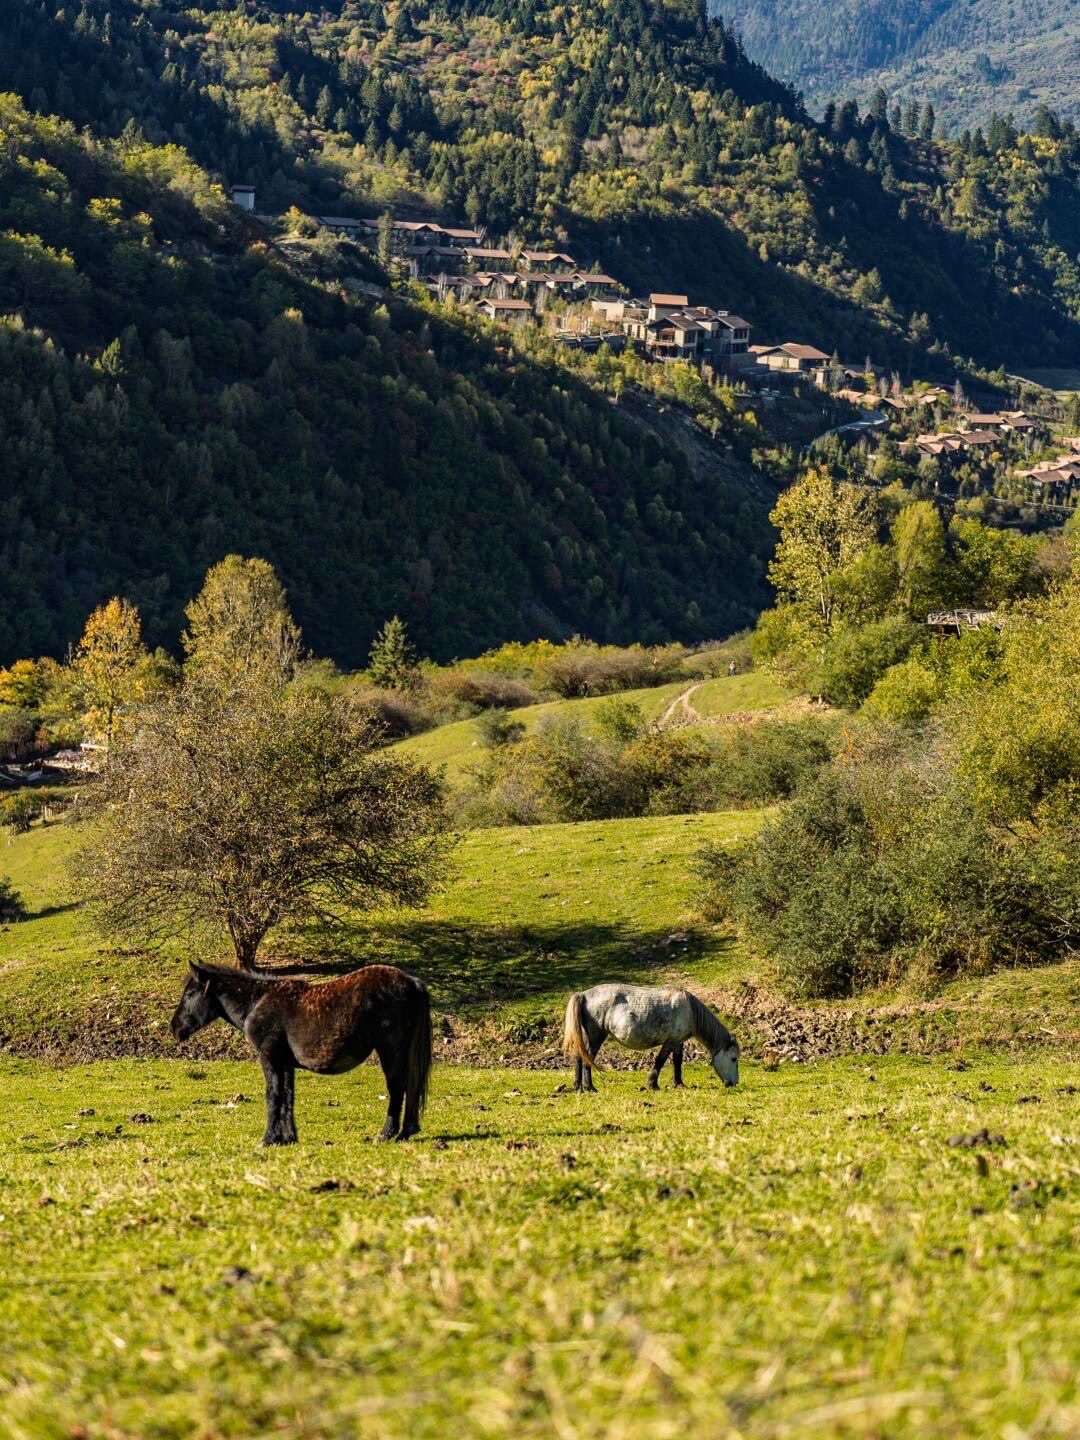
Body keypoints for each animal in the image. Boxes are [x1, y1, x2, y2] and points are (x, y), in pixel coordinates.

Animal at [170, 961, 432, 1147]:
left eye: (190, 994)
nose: (174, 1028)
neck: (257, 1003)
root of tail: (412, 982)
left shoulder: (270, 1057)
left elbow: (273, 1095)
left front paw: (268, 1139)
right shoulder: (285, 1063)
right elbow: (287, 1096)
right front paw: (287, 1138)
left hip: (390, 1051)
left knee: (397, 1089)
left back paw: (386, 1134)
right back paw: (405, 1131)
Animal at [562, 983, 739, 1093]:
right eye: (734, 1059)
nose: (734, 1083)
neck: (688, 1009)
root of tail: (583, 995)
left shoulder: (678, 1042)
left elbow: (677, 1062)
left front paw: (679, 1084)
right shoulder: (670, 1042)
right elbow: (660, 1061)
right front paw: (652, 1084)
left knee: (579, 1057)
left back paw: (578, 1087)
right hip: (596, 1036)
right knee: (588, 1060)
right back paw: (590, 1087)